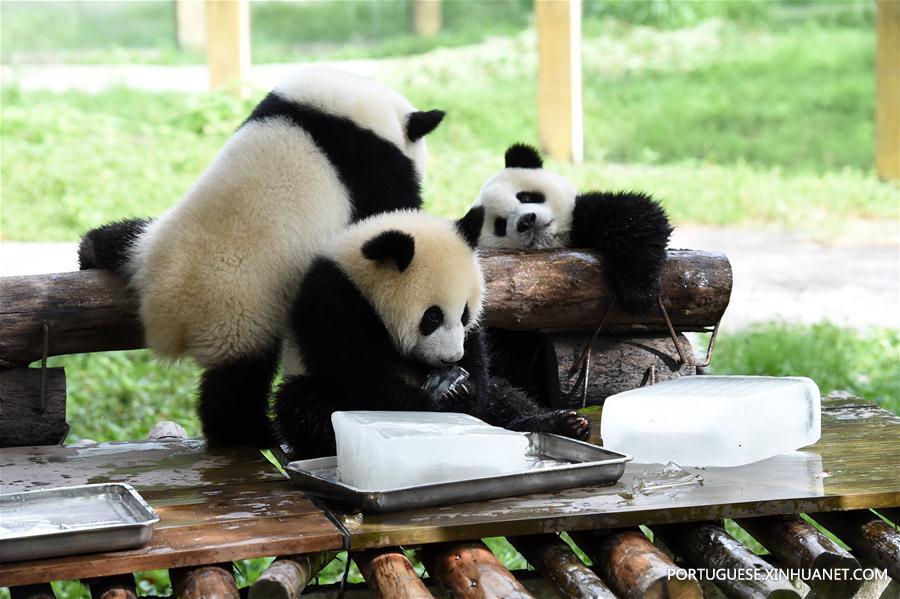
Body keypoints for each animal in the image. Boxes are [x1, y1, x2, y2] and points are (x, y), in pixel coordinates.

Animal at [79, 68, 444, 448]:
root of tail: (162, 312)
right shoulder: (371, 166)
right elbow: (390, 209)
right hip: (237, 314)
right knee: (237, 382)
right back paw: (250, 431)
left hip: (148, 245)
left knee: (122, 238)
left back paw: (93, 250)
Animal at [460, 144, 672, 314]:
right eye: (500, 225)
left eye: (526, 197)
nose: (526, 221)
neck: (557, 241)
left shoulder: (583, 213)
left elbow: (633, 213)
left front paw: (638, 291)